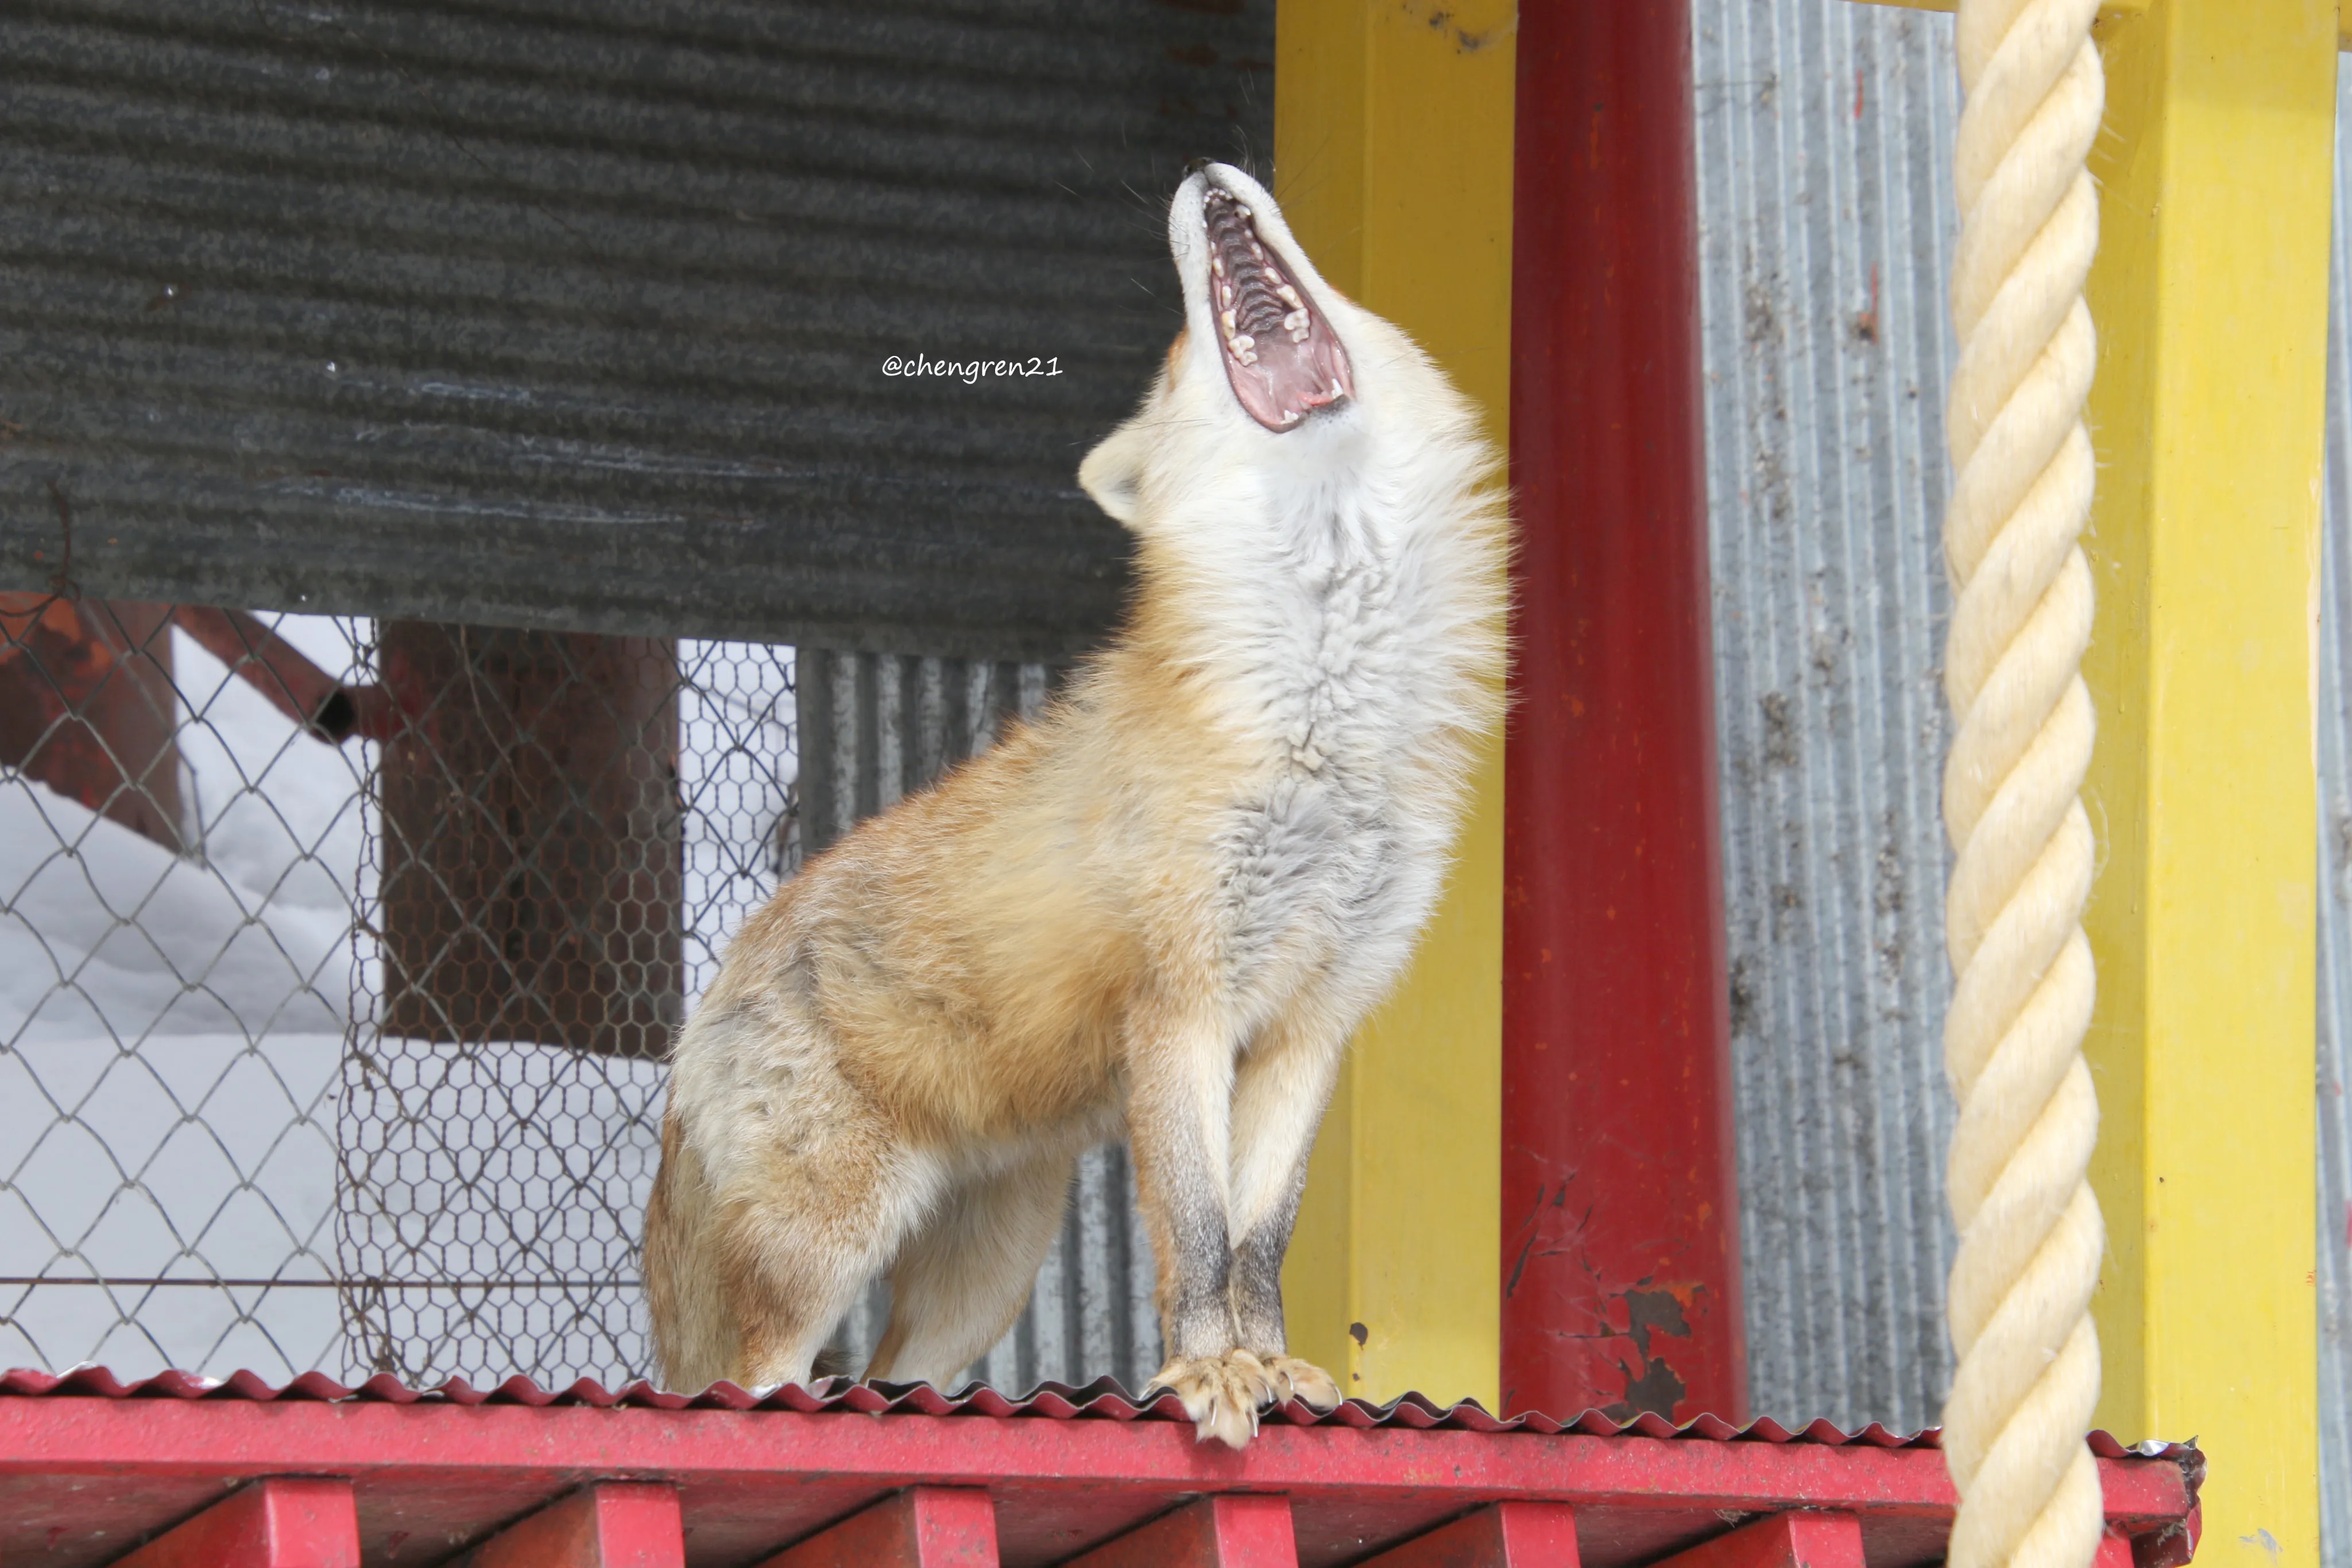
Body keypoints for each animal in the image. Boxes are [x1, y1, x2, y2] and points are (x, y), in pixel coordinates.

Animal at [643, 160, 1507, 1448]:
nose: (1203, 174)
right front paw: (1206, 1371)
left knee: (892, 1369)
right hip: (822, 1247)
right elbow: (1196, 1232)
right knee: (750, 1374)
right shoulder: (1182, 1000)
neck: (1322, 723)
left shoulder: (1313, 1019)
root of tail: (715, 985)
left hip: (983, 1284)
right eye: (1177, 359)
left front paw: (1269, 1362)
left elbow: (1260, 1237)